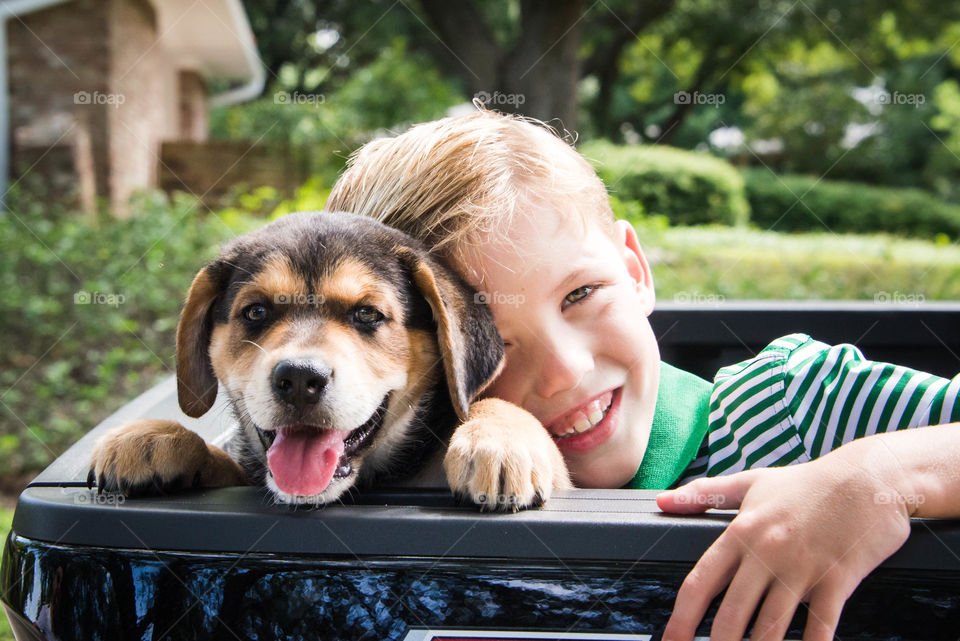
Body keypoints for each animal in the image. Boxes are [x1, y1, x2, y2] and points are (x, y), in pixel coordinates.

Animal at [86, 210, 568, 510]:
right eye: (255, 312)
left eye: (367, 314)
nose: (300, 379)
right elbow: (222, 463)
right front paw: (153, 437)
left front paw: (499, 440)